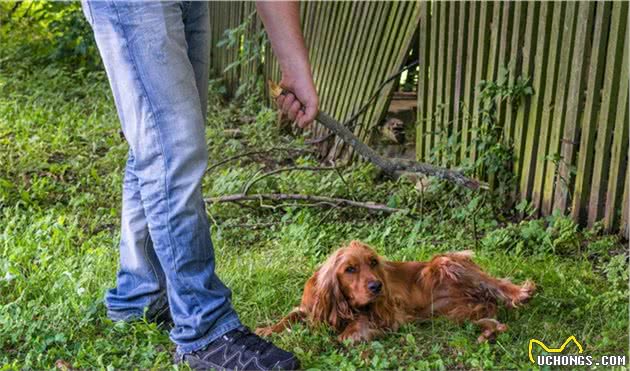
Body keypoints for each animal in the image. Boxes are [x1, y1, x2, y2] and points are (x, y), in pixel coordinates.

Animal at [256, 241, 540, 342]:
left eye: (373, 262)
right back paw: (489, 332)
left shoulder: (388, 314)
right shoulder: (310, 307)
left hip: (446, 262)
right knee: (491, 313)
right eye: (350, 269)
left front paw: (352, 334)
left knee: (497, 285)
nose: (377, 286)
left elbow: (349, 332)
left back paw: (521, 293)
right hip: (454, 314)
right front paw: (267, 330)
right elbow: (290, 316)